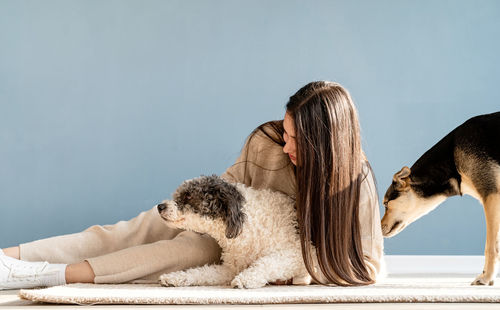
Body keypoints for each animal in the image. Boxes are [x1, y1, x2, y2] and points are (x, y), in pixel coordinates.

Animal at [156, 174, 308, 288]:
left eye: (188, 196)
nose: (160, 206)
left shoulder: (295, 254)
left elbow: (267, 263)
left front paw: (245, 279)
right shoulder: (231, 268)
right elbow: (202, 272)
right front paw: (174, 277)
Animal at [380, 111, 498, 286]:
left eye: (386, 204)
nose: (377, 228)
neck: (452, 159)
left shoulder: (491, 195)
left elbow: (491, 247)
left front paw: (486, 278)